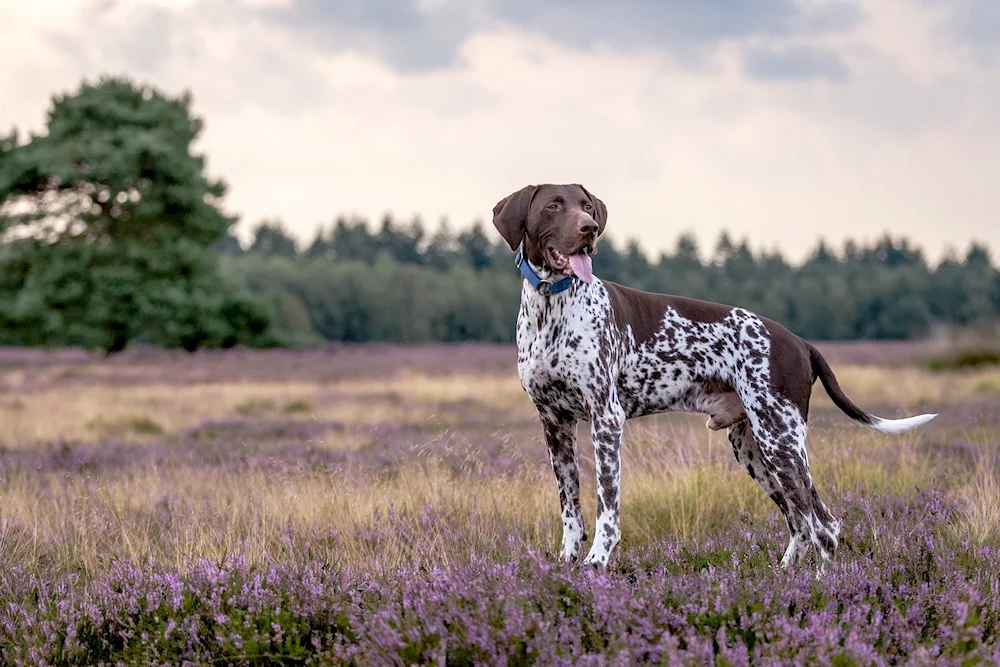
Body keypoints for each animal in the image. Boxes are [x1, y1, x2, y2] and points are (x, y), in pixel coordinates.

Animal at [492, 183, 936, 568]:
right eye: (554, 205)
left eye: (586, 205)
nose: (589, 228)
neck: (552, 307)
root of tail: (799, 342)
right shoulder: (555, 423)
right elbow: (570, 508)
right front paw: (566, 562)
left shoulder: (606, 420)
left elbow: (607, 507)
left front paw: (596, 562)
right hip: (754, 448)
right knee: (801, 522)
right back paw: (786, 576)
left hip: (782, 442)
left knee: (823, 524)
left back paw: (824, 587)